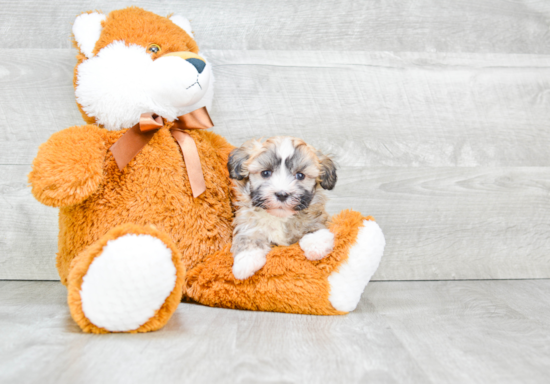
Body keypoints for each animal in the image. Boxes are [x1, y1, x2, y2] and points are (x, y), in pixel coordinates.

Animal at [226, 136, 338, 280]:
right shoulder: (248, 222)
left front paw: (316, 244)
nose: (282, 194)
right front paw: (246, 261)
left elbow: (314, 225)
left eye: (300, 175)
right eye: (265, 173)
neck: (279, 217)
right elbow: (248, 237)